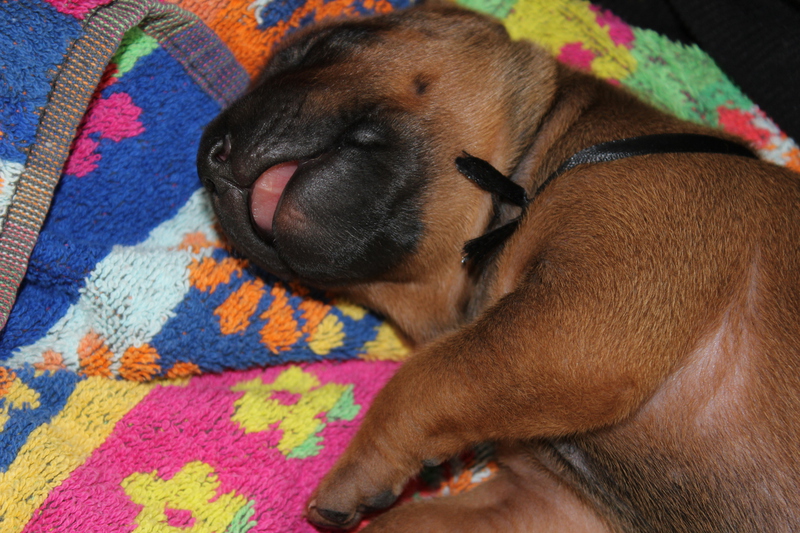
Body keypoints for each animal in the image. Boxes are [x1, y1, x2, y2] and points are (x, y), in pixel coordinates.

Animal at [197, 4, 800, 531]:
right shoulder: (547, 503)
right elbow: (409, 515)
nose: (207, 155)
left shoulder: (584, 314)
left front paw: (356, 470)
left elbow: (425, 377)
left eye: (329, 43)